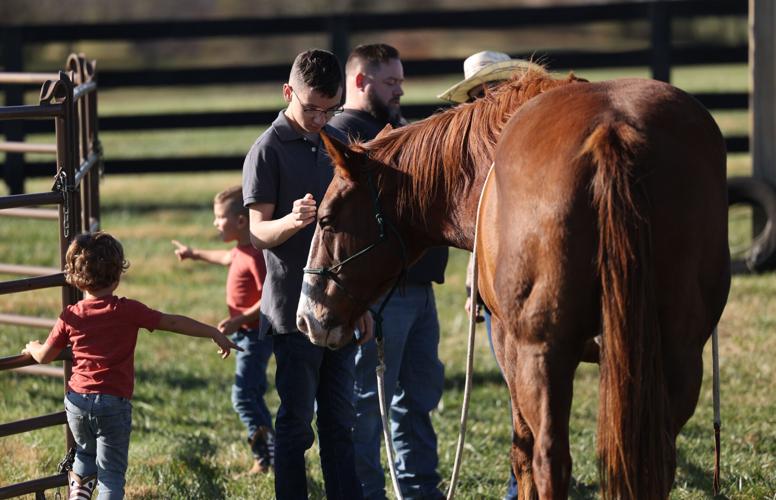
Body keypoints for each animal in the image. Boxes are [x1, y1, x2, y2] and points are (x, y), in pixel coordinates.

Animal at [296, 70, 731, 499]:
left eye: (327, 220)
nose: (307, 318)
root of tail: (613, 130)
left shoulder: (510, 346)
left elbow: (521, 453)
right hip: (675, 354)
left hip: (543, 355)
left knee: (549, 460)